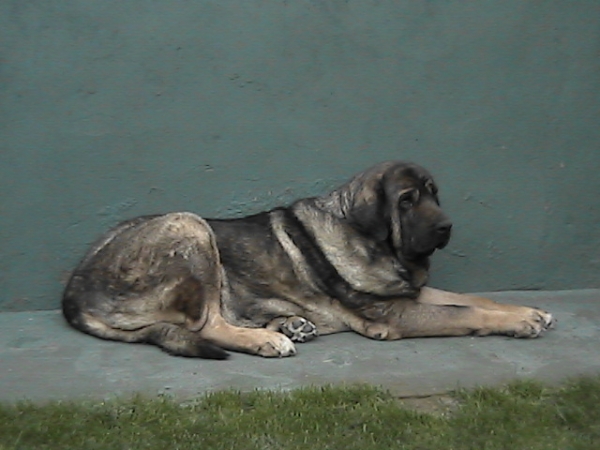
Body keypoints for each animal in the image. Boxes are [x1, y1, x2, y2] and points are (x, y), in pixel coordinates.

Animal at [63, 162, 556, 358]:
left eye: (434, 195)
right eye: (407, 200)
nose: (446, 226)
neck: (373, 243)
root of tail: (73, 292)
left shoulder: (409, 294)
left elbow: (472, 299)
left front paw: (530, 310)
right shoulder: (395, 313)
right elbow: (466, 311)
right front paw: (521, 322)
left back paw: (290, 324)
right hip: (190, 226)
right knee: (207, 325)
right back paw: (268, 339)